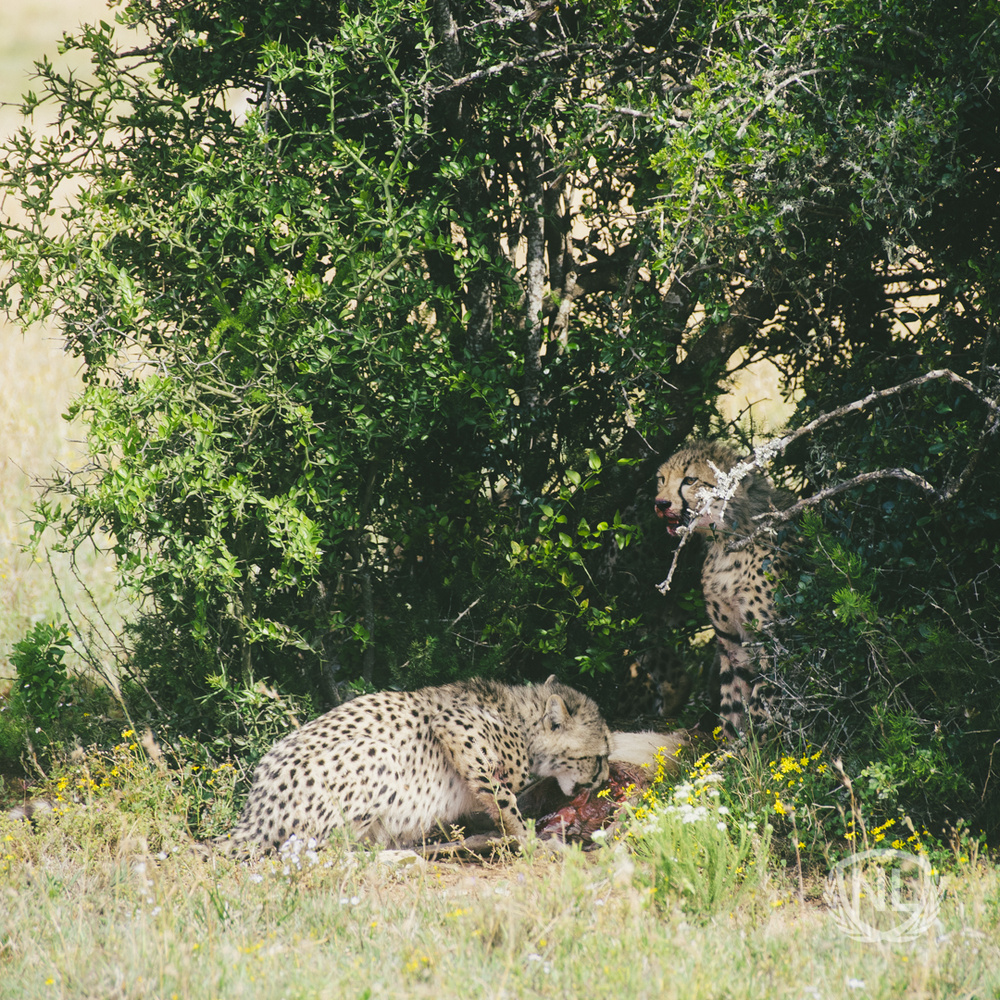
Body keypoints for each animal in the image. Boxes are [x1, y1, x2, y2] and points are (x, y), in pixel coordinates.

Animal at [215, 675, 612, 855]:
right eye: (601, 756)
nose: (605, 778)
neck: (524, 722)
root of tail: (252, 816)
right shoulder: (455, 726)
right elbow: (504, 799)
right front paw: (528, 840)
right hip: (380, 755)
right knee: (314, 848)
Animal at [654, 439, 796, 735]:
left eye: (690, 480)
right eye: (662, 479)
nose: (660, 503)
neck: (725, 544)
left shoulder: (771, 637)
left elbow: (763, 699)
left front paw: (760, 741)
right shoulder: (730, 641)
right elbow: (733, 701)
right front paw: (736, 744)